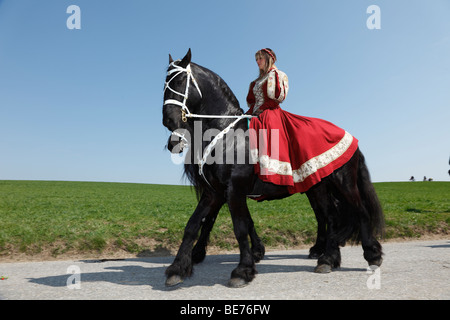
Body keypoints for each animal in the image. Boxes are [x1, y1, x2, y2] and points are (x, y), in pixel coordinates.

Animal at [162, 50, 384, 288]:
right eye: (164, 82)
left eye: (179, 80)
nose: (169, 120)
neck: (227, 135)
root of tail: (349, 136)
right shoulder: (214, 192)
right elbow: (194, 225)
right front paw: (178, 268)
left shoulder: (234, 190)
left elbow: (240, 227)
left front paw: (243, 270)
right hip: (318, 188)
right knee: (331, 217)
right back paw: (327, 259)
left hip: (343, 183)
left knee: (359, 211)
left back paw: (371, 255)